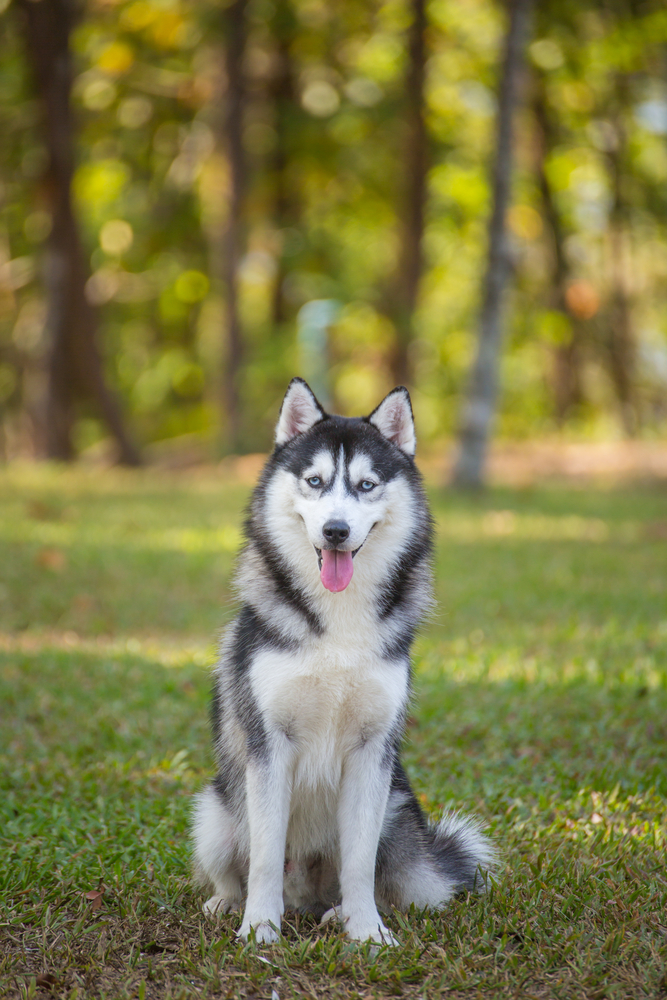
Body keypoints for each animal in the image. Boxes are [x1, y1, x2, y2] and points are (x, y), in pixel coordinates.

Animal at [190, 376, 494, 944]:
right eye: (315, 480)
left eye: (366, 485)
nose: (335, 530)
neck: (339, 622)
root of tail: (303, 900)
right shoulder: (269, 747)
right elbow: (265, 855)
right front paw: (259, 928)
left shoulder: (371, 752)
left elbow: (359, 862)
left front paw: (367, 932)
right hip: (214, 812)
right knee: (234, 865)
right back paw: (230, 904)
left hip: (398, 811)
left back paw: (337, 914)